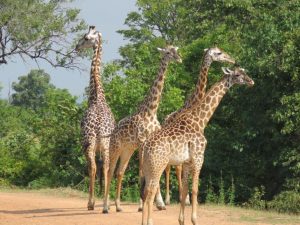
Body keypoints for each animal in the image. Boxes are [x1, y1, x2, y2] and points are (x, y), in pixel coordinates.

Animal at [102, 45, 183, 213]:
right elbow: (142, 170)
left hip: (127, 150)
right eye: (167, 52)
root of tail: (113, 131)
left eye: (176, 50)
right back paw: (105, 207)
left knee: (120, 172)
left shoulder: (149, 142)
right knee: (110, 171)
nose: (179, 58)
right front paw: (143, 205)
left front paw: (159, 203)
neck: (151, 111)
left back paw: (118, 206)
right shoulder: (141, 141)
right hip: (115, 148)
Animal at [141, 67, 253, 225]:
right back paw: (150, 221)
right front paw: (195, 219)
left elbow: (185, 190)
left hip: (147, 168)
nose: (251, 81)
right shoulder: (199, 158)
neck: (200, 121)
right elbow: (195, 190)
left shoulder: (187, 162)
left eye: (244, 71)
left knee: (145, 193)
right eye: (237, 74)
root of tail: (145, 148)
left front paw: (181, 220)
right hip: (158, 166)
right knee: (150, 193)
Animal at [163, 47, 236, 206]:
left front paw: (187, 198)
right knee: (170, 168)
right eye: (218, 53)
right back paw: (166, 200)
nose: (232, 59)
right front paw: (185, 198)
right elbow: (181, 169)